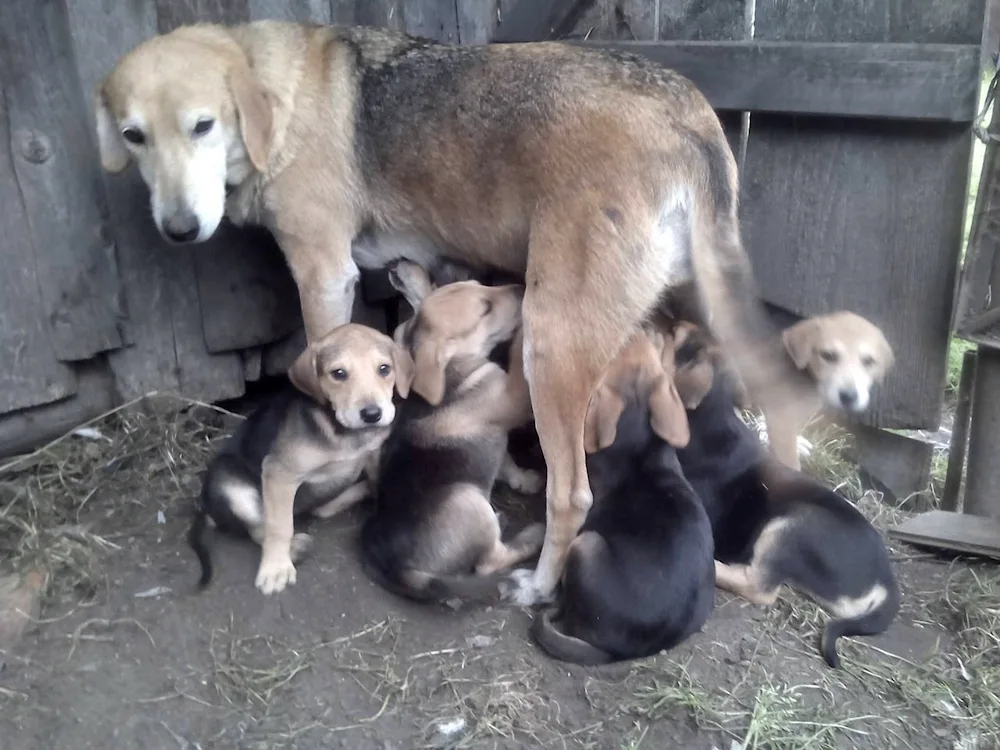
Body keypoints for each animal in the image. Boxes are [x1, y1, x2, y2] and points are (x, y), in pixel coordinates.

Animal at [362, 262, 548, 604]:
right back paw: (532, 536)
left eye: (481, 285)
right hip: (469, 500)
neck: (454, 372)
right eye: (485, 308)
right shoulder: (513, 395)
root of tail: (398, 567)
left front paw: (525, 480)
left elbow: (507, 462)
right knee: (490, 562)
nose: (523, 287)